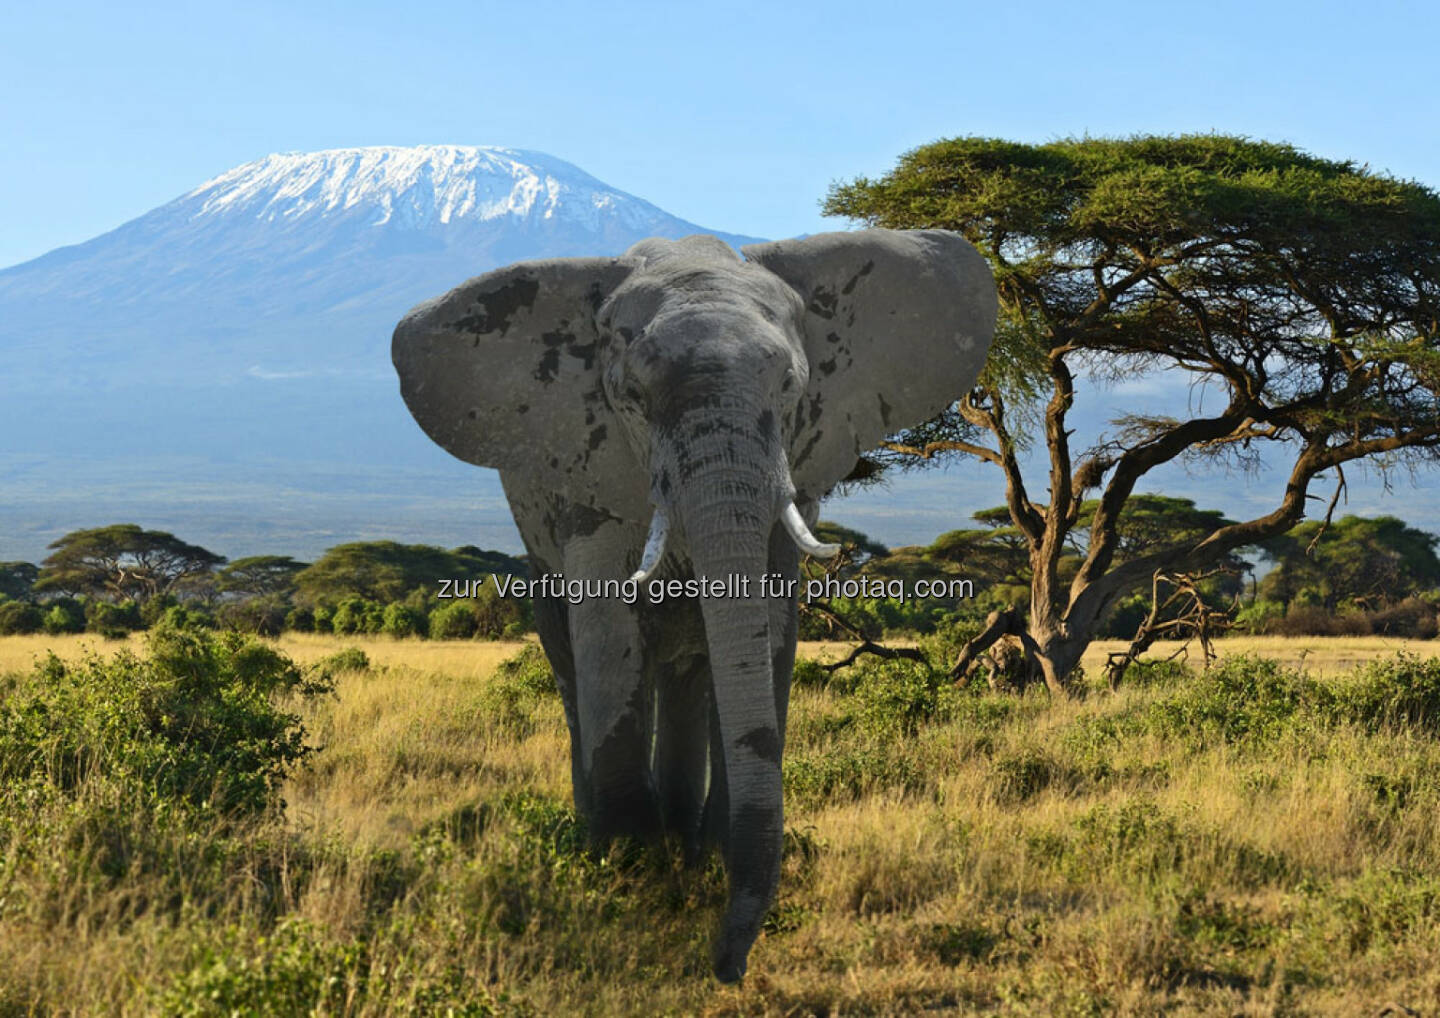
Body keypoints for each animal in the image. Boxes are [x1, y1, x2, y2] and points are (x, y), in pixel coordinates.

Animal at [394, 228, 1002, 979]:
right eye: (630, 395)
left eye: (792, 387)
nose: (724, 965)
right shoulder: (590, 466)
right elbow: (607, 621)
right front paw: (626, 866)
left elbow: (769, 624)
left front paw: (701, 857)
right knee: (569, 654)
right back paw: (604, 831)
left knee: (685, 668)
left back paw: (684, 837)